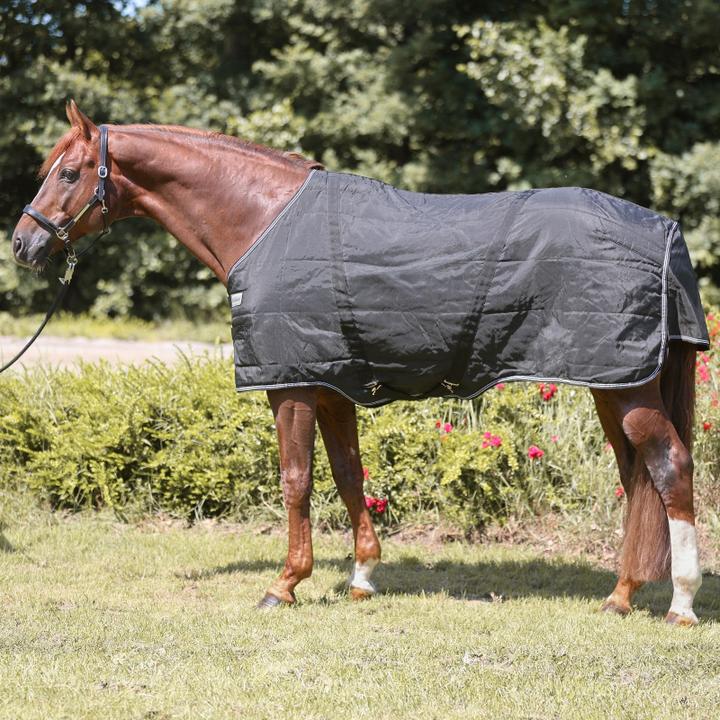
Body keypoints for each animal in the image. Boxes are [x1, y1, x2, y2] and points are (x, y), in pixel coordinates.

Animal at [10, 100, 707, 625]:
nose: (23, 243)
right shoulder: (331, 384)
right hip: (611, 381)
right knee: (636, 478)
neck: (262, 218)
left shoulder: (289, 384)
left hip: (624, 386)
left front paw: (283, 584)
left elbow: (296, 480)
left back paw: (680, 603)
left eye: (68, 173)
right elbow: (349, 474)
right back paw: (621, 596)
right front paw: (362, 577)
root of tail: (664, 232)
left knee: (669, 467)